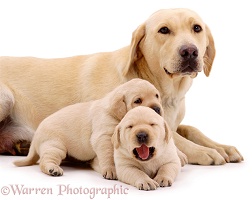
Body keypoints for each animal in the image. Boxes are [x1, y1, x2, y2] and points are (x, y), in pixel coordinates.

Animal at [0, 8, 244, 164]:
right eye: (164, 30)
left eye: (197, 28)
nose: (190, 51)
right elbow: (174, 137)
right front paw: (205, 151)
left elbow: (190, 129)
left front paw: (221, 146)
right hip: (6, 98)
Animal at [13, 78, 164, 178]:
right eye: (137, 101)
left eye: (157, 96)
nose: (157, 109)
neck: (115, 115)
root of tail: (36, 136)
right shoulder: (103, 137)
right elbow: (108, 155)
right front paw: (111, 170)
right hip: (54, 144)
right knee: (46, 160)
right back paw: (52, 169)